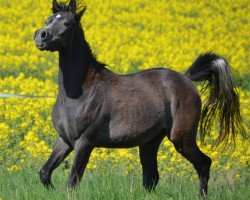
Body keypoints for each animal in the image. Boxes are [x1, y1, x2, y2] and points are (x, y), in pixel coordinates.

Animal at [32, 0, 244, 197]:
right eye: (48, 20)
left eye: (67, 23)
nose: (41, 36)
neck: (82, 91)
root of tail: (186, 79)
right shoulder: (65, 140)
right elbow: (45, 172)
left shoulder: (85, 142)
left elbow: (72, 182)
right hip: (150, 142)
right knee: (152, 177)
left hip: (181, 138)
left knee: (204, 164)